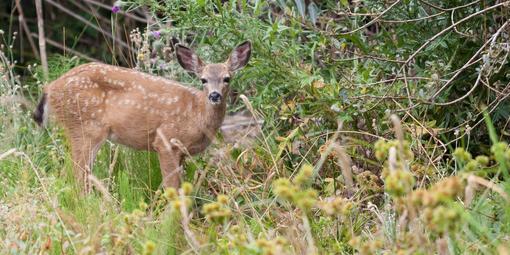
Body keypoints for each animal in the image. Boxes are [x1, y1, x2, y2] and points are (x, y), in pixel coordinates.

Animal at [32, 41, 252, 193]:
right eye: (203, 79)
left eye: (227, 78)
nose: (214, 95)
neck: (196, 114)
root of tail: (50, 88)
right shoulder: (165, 141)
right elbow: (172, 188)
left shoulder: (182, 152)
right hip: (84, 127)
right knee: (76, 175)